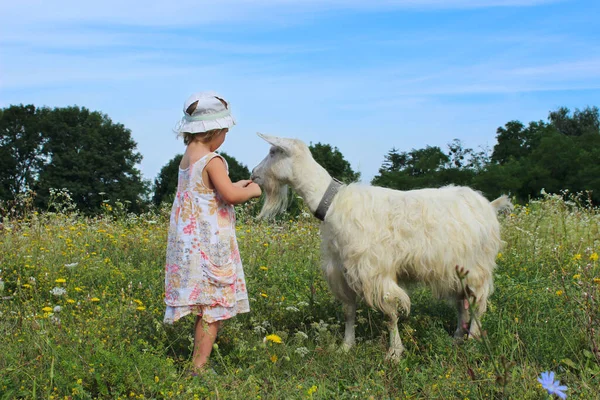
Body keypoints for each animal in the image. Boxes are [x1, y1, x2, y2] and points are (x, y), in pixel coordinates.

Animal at [251, 134, 508, 360]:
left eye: (273, 152)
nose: (253, 174)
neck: (333, 203)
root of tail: (489, 205)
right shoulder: (343, 270)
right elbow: (349, 311)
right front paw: (346, 346)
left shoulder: (375, 271)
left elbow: (391, 314)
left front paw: (393, 353)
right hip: (456, 270)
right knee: (462, 304)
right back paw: (456, 338)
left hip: (477, 268)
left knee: (477, 303)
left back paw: (472, 340)